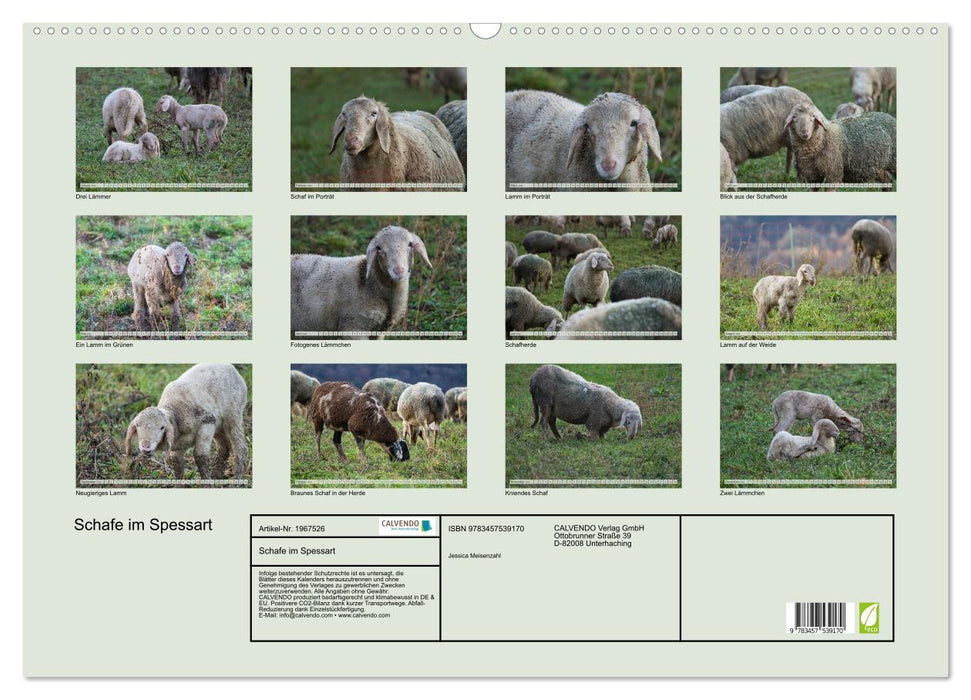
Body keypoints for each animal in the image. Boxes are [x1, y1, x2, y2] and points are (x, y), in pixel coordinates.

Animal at [290, 226, 431, 339]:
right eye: (379, 248)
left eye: (410, 244)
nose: (399, 271)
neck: (370, 284)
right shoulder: (354, 327)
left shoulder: (379, 332)